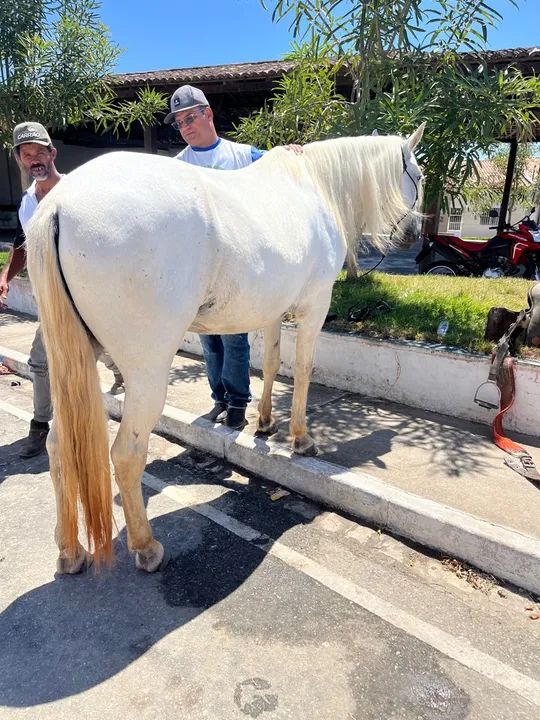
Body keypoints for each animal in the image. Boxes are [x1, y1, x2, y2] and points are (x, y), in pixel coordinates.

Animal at [26, 124, 425, 574]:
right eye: (419, 175)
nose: (414, 234)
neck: (313, 186)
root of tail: (59, 205)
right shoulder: (314, 307)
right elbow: (304, 369)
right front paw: (300, 439)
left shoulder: (273, 310)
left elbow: (270, 363)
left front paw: (265, 424)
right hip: (146, 373)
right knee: (126, 454)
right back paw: (146, 547)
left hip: (75, 362)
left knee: (58, 447)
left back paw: (69, 551)